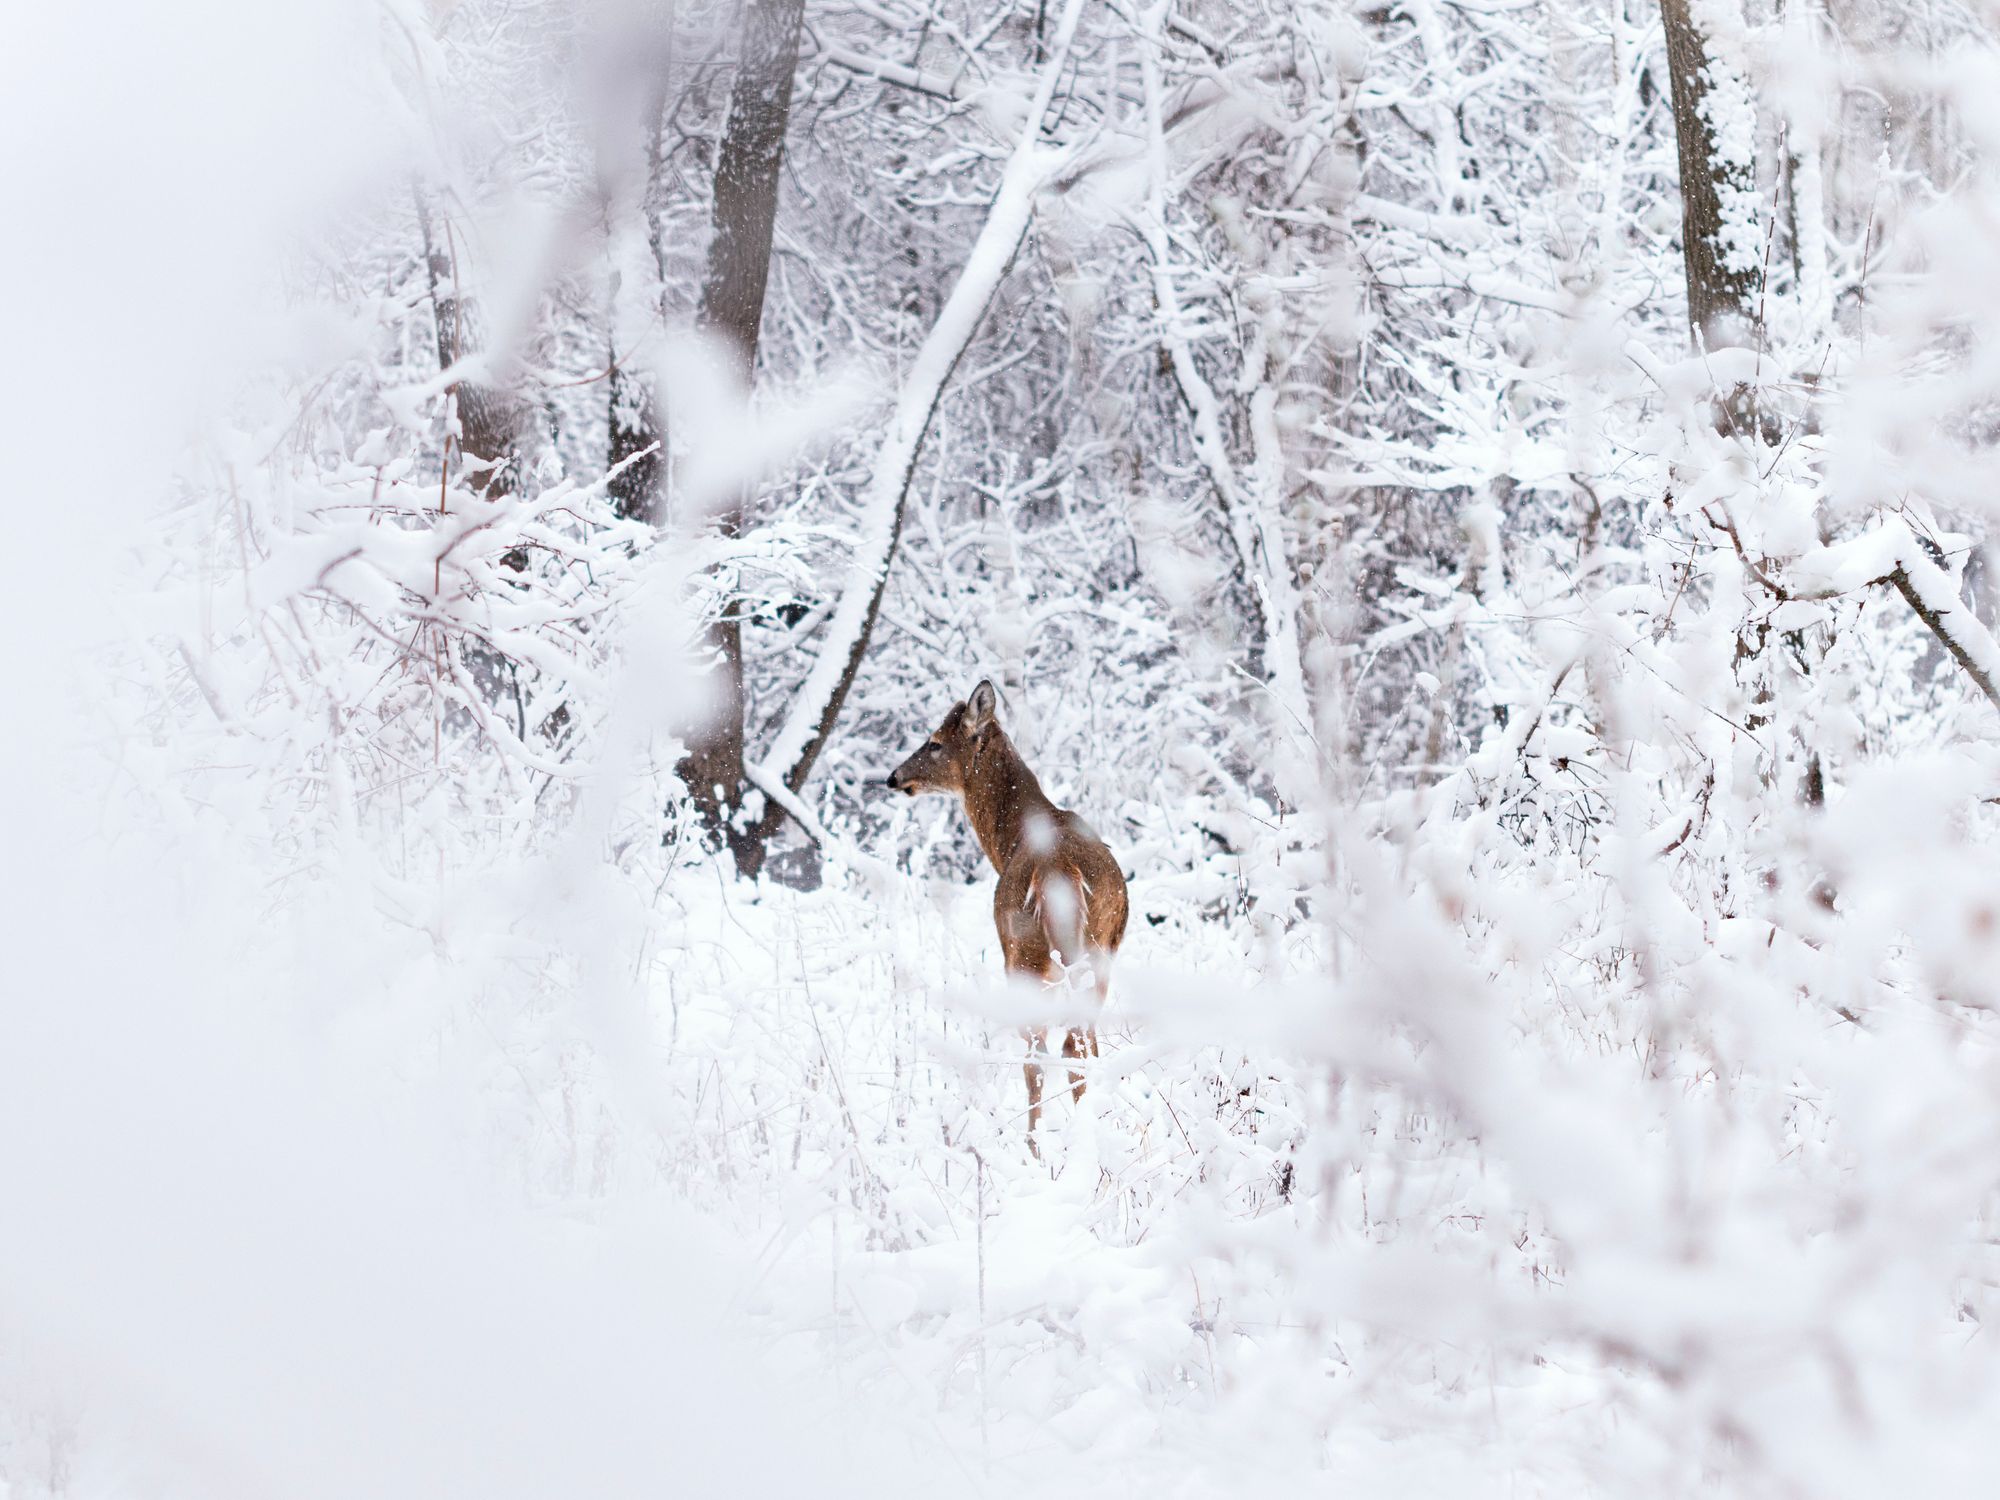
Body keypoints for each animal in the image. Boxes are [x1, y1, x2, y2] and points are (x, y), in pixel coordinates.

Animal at [885, 680, 1129, 1147]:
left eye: (935, 742)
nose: (894, 777)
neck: (1010, 839)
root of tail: (1059, 872)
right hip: (1097, 951)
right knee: (1082, 1041)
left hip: (1024, 954)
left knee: (1043, 1052)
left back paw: (1034, 1144)